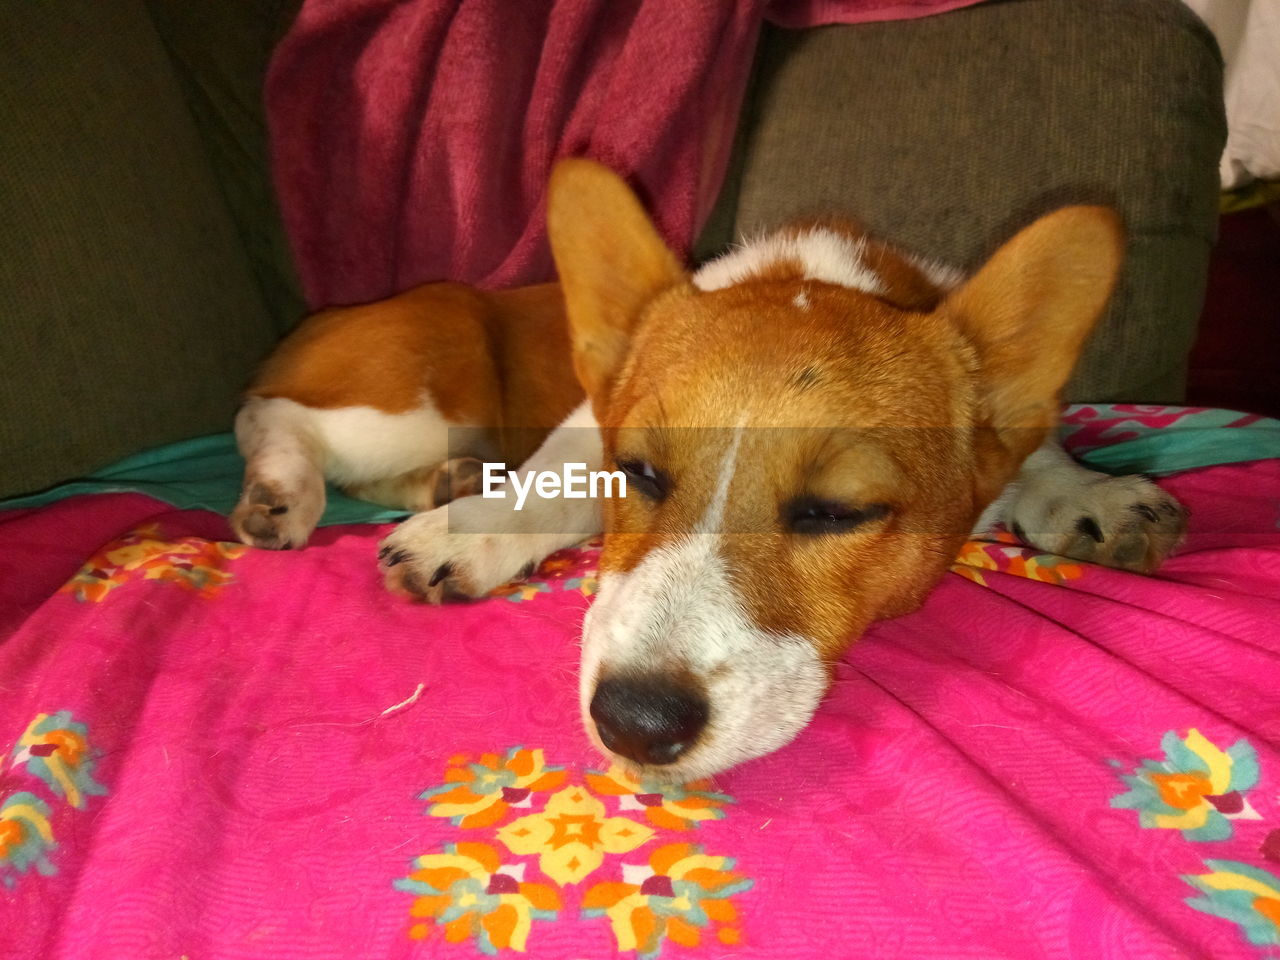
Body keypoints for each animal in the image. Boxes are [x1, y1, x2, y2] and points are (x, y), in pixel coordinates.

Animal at [232, 160, 1187, 783]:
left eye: (836, 511)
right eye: (641, 473)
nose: (634, 726)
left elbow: (1043, 459)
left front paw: (1095, 496)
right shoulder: (587, 427)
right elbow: (544, 487)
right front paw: (461, 536)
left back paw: (448, 481)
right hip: (416, 398)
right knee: (271, 413)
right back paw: (287, 494)